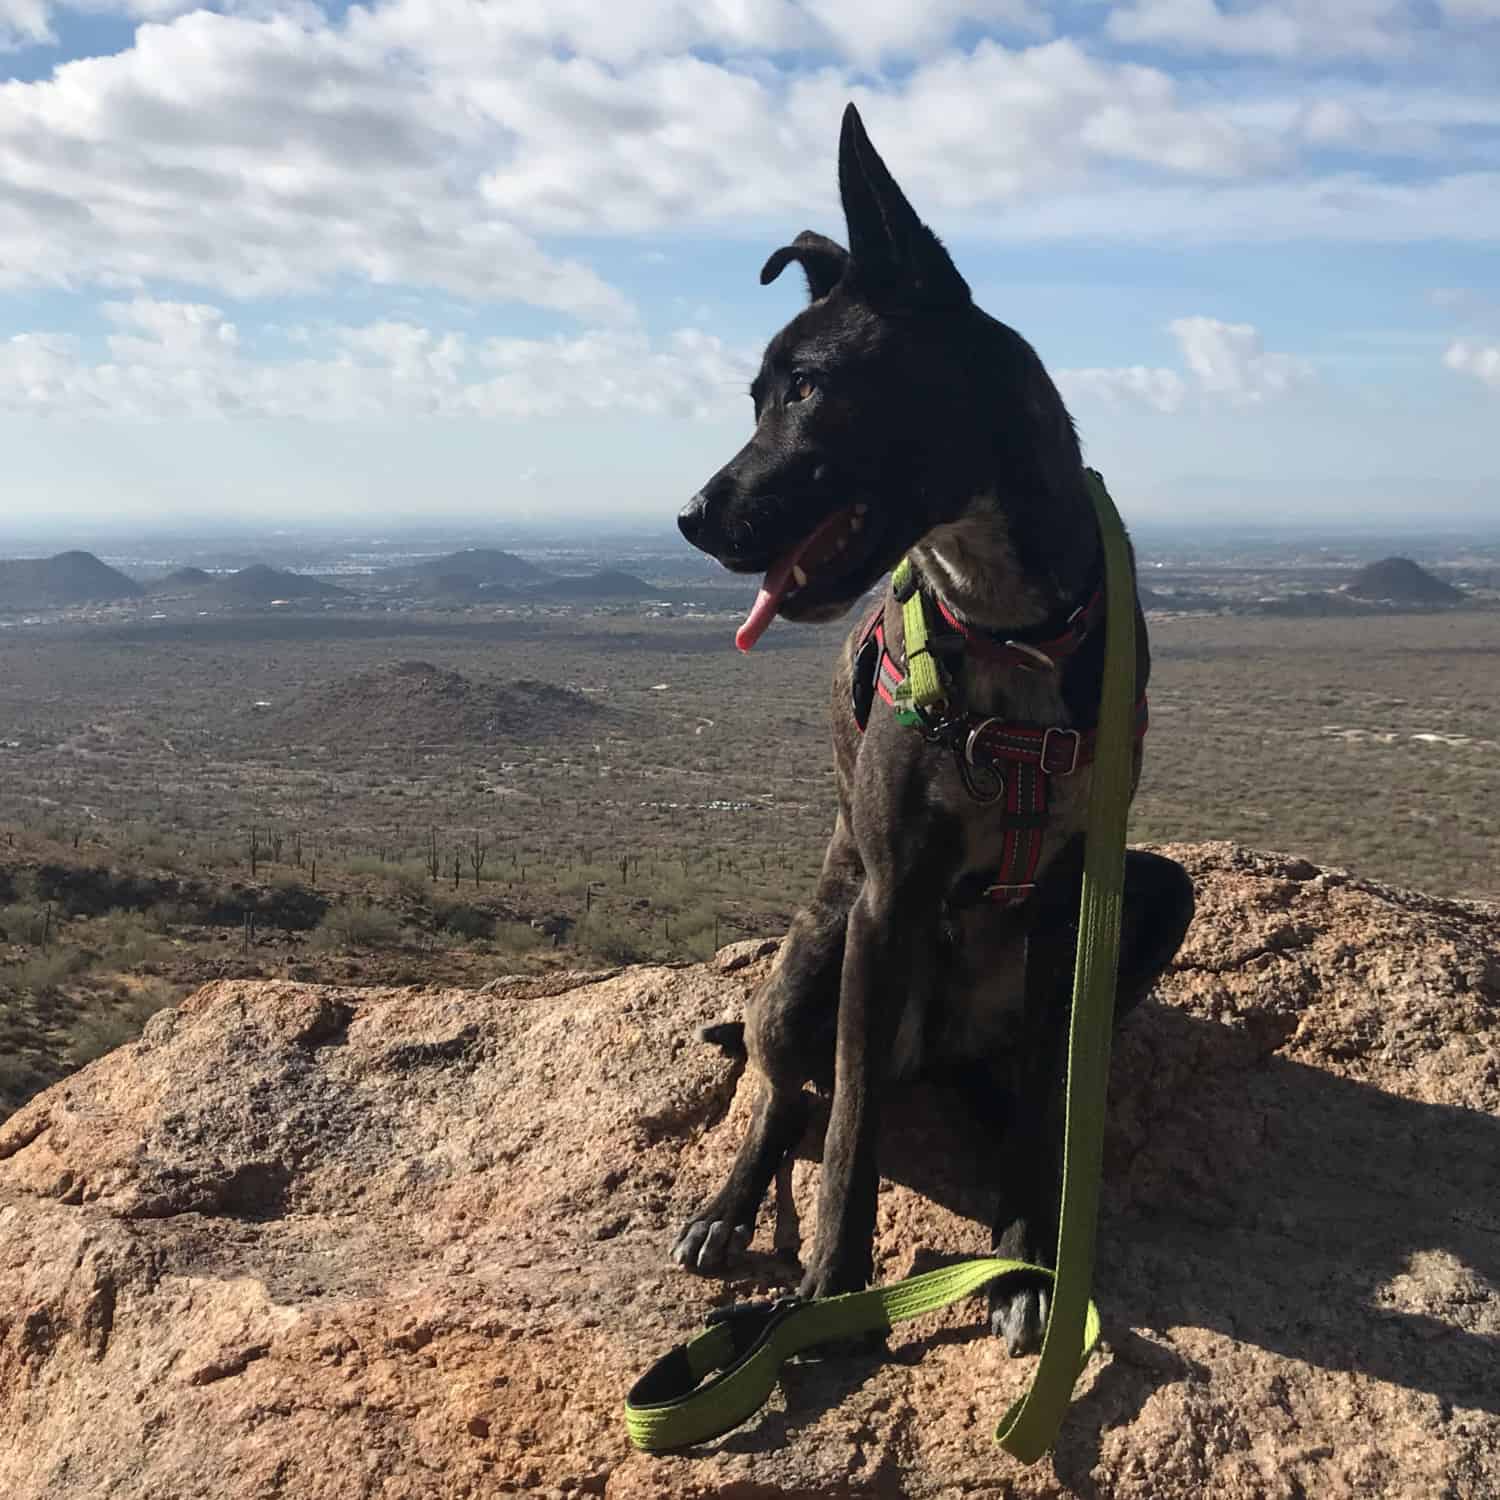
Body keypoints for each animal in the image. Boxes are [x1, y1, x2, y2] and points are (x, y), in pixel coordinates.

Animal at [675, 102, 1188, 1350]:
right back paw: (729, 1205)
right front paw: (829, 1296)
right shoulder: (888, 898)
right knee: (786, 1086)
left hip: (1161, 890)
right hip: (808, 964)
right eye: (755, 395)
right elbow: (851, 1125)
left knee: (1005, 1076)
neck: (1006, 624)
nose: (693, 517)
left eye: (806, 387)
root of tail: (940, 1046)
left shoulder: (1081, 903)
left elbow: (1051, 1104)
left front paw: (1026, 1257)